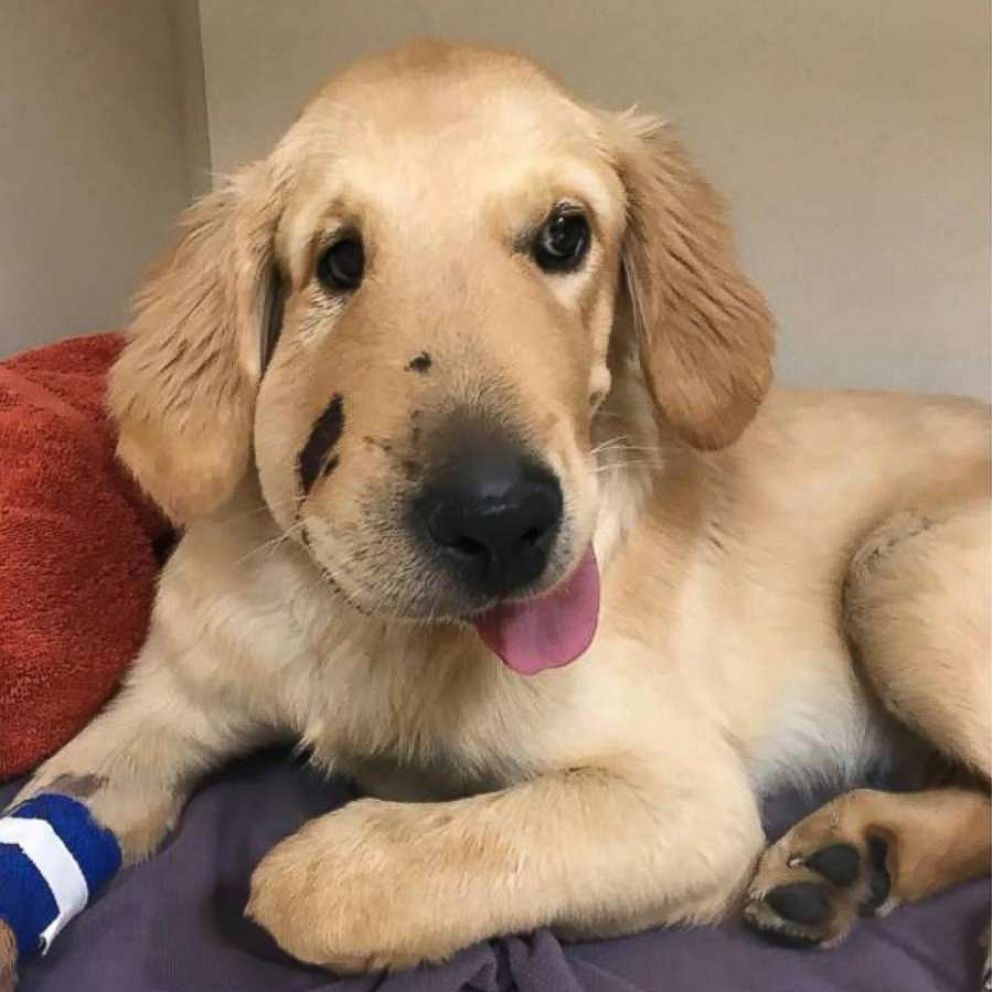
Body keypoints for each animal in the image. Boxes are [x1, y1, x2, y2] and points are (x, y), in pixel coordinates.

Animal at [3, 36, 988, 984]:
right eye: (339, 259)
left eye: (564, 233)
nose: (500, 520)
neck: (353, 613)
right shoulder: (159, 707)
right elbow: (46, 812)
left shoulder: (685, 799)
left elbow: (328, 880)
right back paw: (852, 858)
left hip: (898, 570)